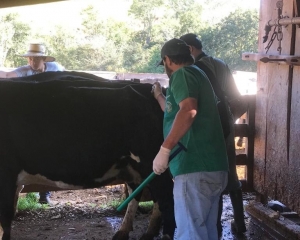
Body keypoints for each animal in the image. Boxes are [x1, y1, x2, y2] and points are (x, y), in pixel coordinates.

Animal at [0, 71, 175, 240]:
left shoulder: (6, 175)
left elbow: (5, 220)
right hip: (132, 165)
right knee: (140, 191)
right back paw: (130, 231)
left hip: (152, 159)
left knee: (166, 194)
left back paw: (164, 234)